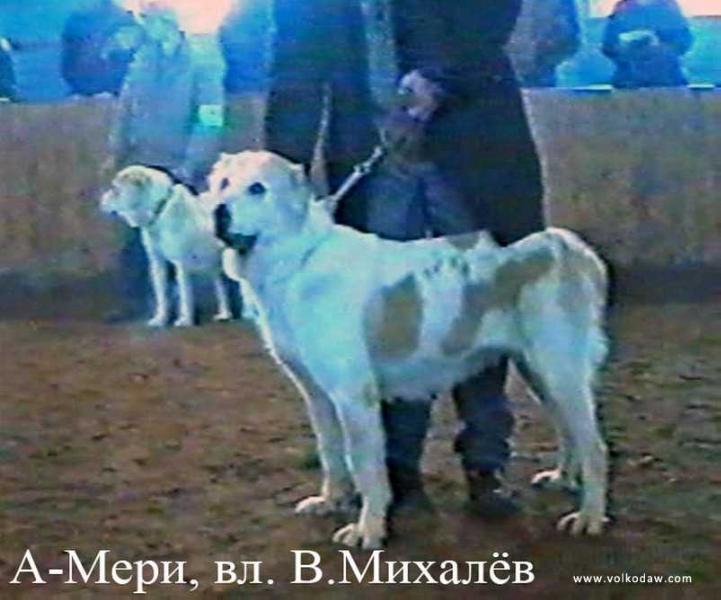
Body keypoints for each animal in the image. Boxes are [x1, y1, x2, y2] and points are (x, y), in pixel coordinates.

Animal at [101, 165, 233, 328]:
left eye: (115, 189)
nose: (101, 202)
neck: (160, 209)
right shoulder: (158, 263)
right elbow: (162, 295)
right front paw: (161, 319)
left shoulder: (181, 264)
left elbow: (184, 294)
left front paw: (185, 320)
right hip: (216, 267)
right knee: (221, 286)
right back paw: (225, 314)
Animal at [212, 151, 608, 548]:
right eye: (224, 184)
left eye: (257, 189)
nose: (218, 211)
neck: (299, 258)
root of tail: (563, 245)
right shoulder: (317, 394)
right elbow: (331, 454)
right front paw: (331, 501)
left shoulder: (354, 396)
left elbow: (365, 467)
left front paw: (368, 530)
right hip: (539, 371)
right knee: (568, 430)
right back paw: (562, 479)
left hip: (559, 368)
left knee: (595, 447)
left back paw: (589, 517)